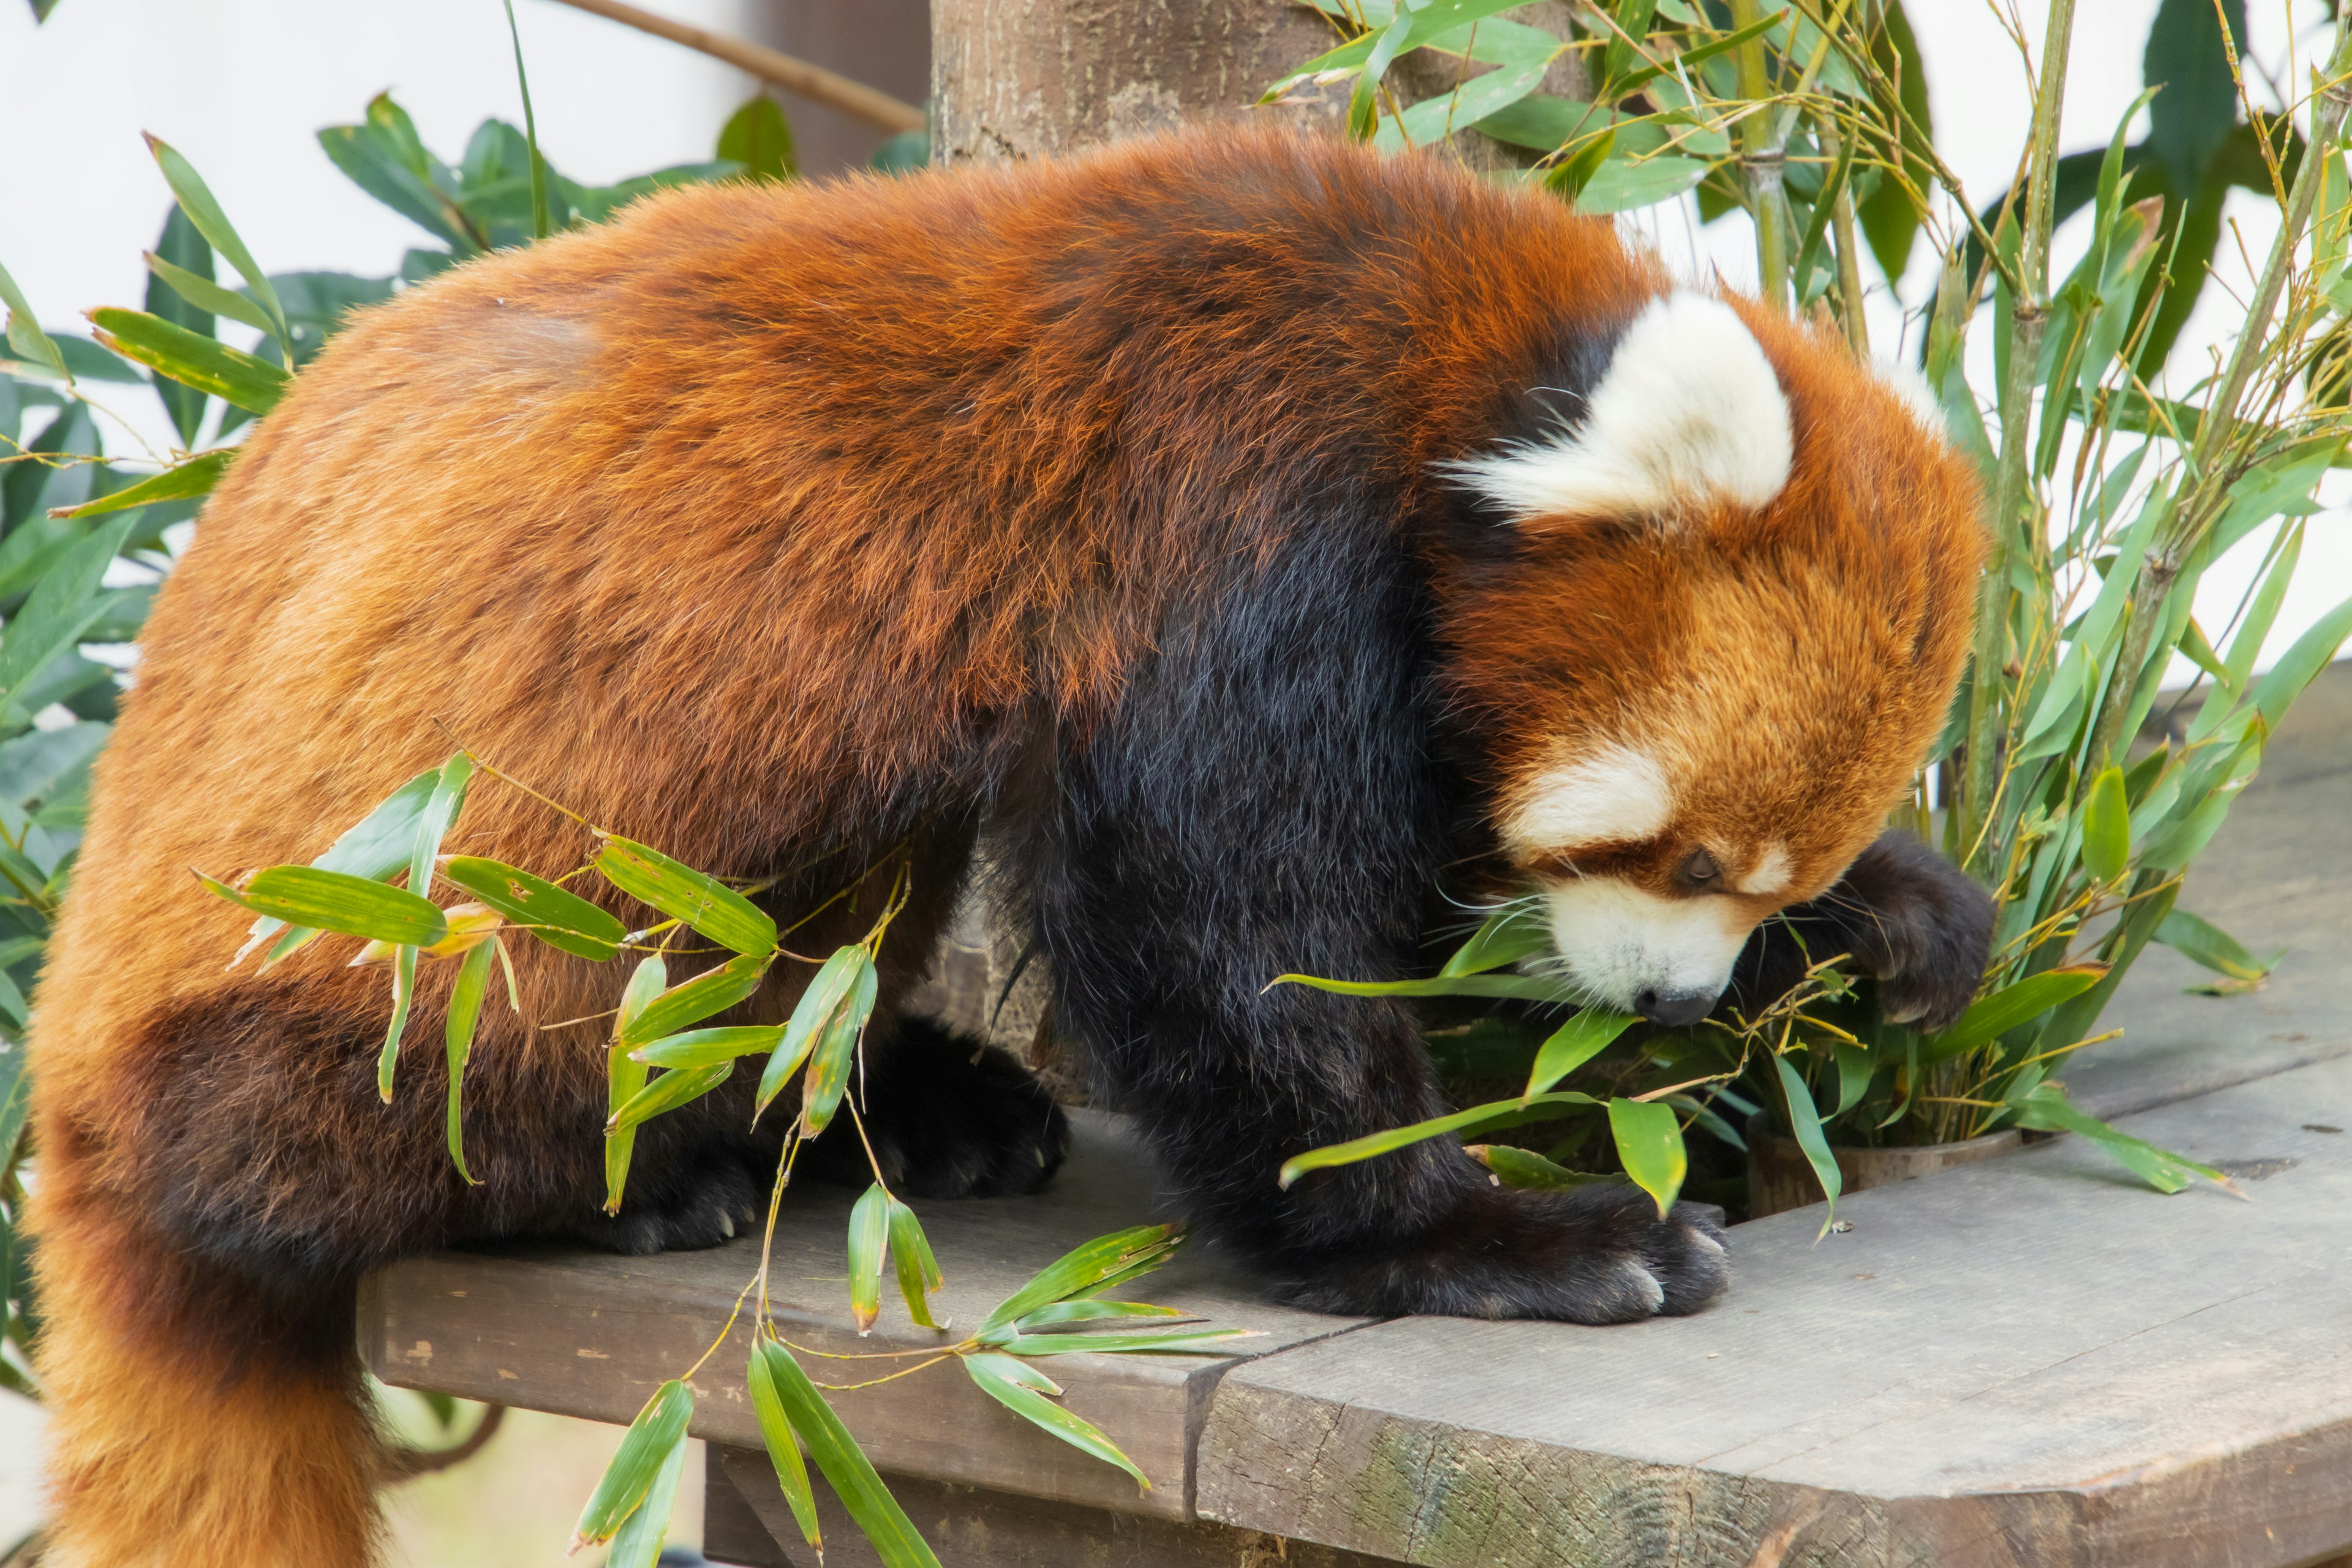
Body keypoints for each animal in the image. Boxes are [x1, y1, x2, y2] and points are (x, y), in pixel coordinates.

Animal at [32, 126, 1985, 1568]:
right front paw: (1468, 1233)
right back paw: (643, 1169)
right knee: (376, 1095)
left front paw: (1890, 920)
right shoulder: (1220, 508)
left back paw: (891, 1107)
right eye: (1677, 856)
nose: (1664, 1010)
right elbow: (1230, 924)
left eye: (1745, 876)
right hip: (412, 936)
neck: (1437, 341)